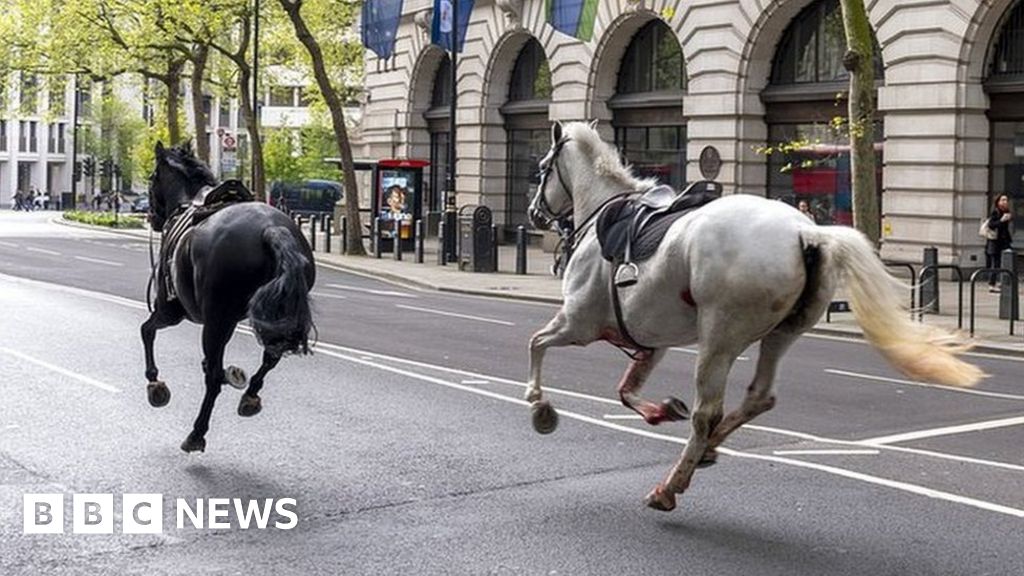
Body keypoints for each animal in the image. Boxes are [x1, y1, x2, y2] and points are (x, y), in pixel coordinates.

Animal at [142, 141, 313, 450]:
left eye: (151, 178)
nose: (153, 217)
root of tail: (272, 229)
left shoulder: (170, 311)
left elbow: (146, 331)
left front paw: (155, 384)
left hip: (214, 321)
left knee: (212, 378)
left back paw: (196, 433)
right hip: (272, 315)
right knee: (271, 356)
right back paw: (250, 395)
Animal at [528, 120, 983, 510]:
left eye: (541, 169)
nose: (533, 214)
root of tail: (808, 231)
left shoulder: (579, 322)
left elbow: (537, 343)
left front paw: (539, 406)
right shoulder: (650, 339)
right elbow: (626, 389)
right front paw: (660, 410)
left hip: (719, 337)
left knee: (707, 412)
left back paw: (671, 485)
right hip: (782, 332)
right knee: (759, 397)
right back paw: (707, 449)